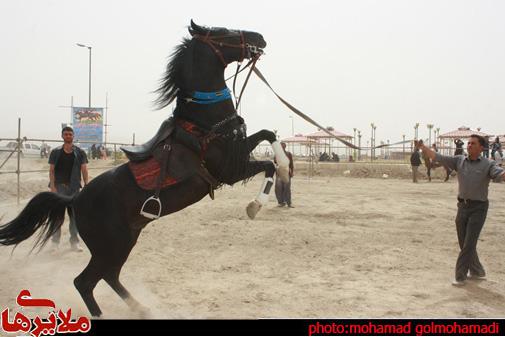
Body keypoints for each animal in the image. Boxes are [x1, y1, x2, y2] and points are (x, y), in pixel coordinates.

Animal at [0, 21, 290, 318]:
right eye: (224, 31)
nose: (259, 38)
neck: (203, 124)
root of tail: (75, 198)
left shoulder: (239, 153)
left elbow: (269, 135)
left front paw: (283, 169)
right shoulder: (230, 170)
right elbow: (268, 164)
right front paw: (255, 205)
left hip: (125, 240)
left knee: (108, 276)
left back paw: (141, 308)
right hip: (111, 245)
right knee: (85, 281)